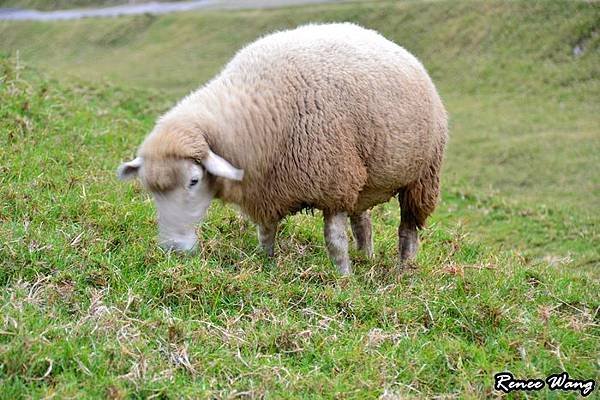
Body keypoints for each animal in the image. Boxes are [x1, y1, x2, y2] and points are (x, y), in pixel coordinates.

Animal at [118, 21, 446, 276]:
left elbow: (334, 241)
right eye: (150, 189)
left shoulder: (334, 181)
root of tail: (391, 43)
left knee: (408, 230)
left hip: (421, 177)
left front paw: (343, 277)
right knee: (363, 222)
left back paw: (404, 270)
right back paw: (366, 257)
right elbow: (266, 233)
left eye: (194, 181)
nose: (173, 249)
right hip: (363, 175)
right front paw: (267, 264)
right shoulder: (267, 189)